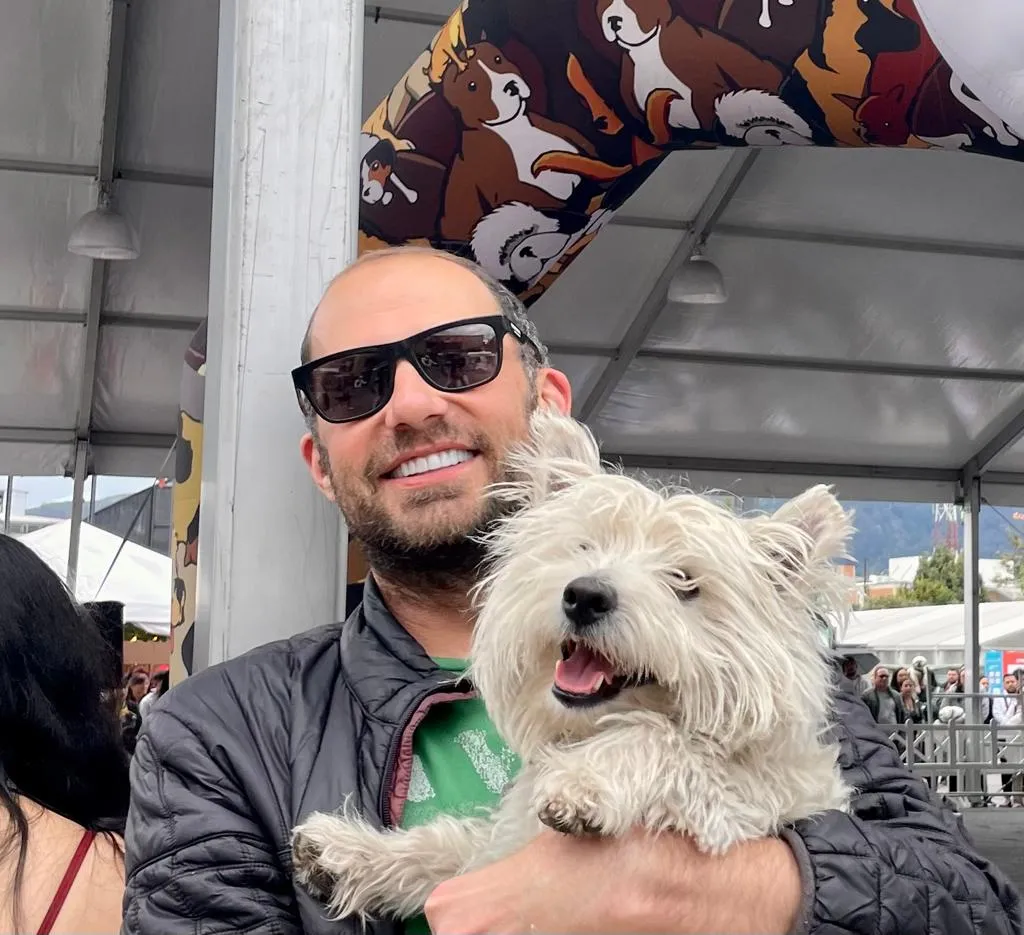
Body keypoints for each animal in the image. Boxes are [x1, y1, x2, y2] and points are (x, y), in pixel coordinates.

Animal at [294, 409, 856, 917]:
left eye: (684, 580)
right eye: (584, 546)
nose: (585, 595)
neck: (585, 731)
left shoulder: (744, 808)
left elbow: (667, 742)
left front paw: (585, 782)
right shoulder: (501, 842)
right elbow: (450, 846)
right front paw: (349, 853)